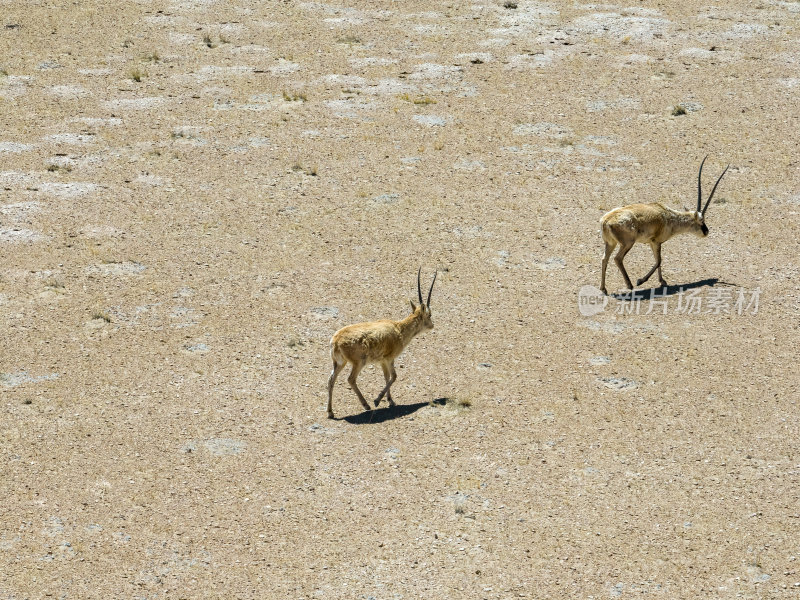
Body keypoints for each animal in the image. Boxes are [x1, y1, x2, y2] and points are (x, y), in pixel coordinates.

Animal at [324, 270, 438, 420]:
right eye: (429, 314)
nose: (432, 325)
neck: (399, 329)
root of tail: (336, 340)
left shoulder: (383, 361)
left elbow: (387, 377)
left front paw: (390, 401)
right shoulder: (389, 359)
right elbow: (394, 376)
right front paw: (378, 400)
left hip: (339, 363)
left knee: (331, 380)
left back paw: (330, 412)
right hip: (358, 362)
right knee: (350, 379)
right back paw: (366, 405)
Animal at [596, 156, 728, 294]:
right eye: (701, 220)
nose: (706, 232)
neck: (669, 216)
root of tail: (606, 221)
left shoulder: (652, 243)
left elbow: (657, 260)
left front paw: (662, 281)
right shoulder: (656, 241)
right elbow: (659, 260)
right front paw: (641, 280)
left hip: (610, 243)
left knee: (604, 259)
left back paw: (603, 289)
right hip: (627, 243)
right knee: (617, 259)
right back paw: (630, 285)